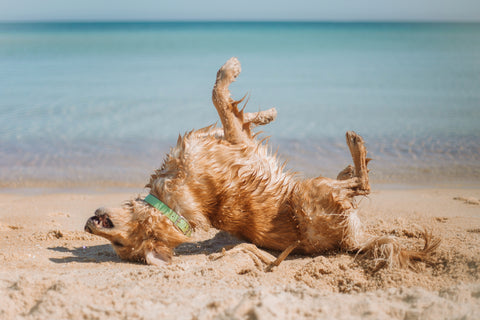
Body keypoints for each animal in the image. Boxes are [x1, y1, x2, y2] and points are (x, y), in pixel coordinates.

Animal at [83, 57, 438, 268]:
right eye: (120, 244)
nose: (88, 225)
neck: (171, 207)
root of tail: (352, 242)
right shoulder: (235, 140)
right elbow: (220, 96)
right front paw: (231, 70)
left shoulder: (234, 137)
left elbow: (232, 109)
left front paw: (266, 113)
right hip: (308, 192)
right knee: (362, 186)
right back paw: (355, 148)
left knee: (356, 185)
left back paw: (347, 164)